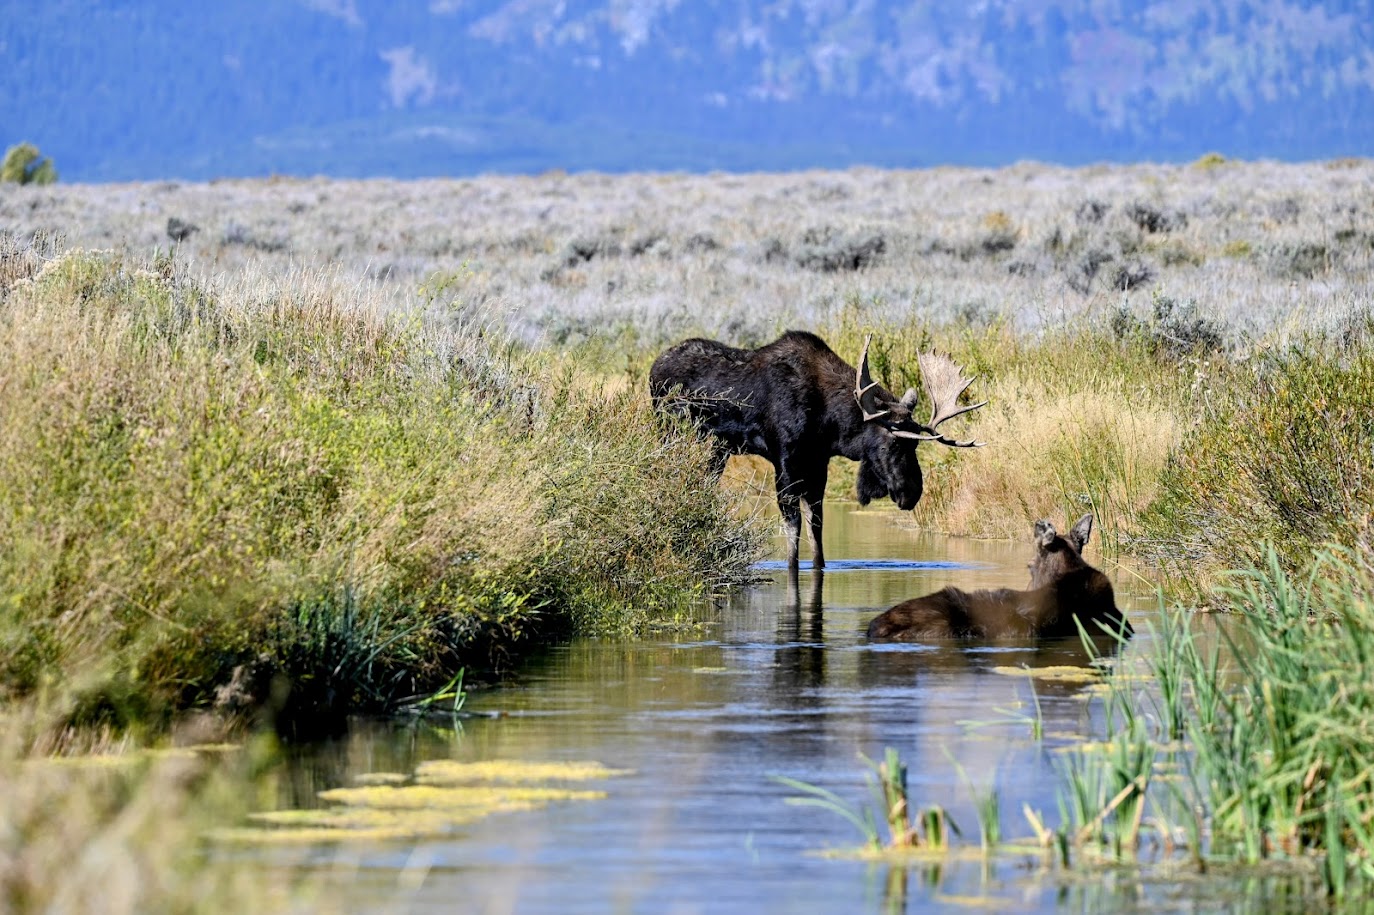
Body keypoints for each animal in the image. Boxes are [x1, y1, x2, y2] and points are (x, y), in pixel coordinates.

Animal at [649, 330, 985, 571]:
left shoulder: (818, 463)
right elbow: (793, 528)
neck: (829, 423)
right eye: (892, 442)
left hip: (717, 450)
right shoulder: (786, 461)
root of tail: (653, 369)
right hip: (670, 432)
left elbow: (817, 528)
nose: (912, 492)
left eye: (915, 443)